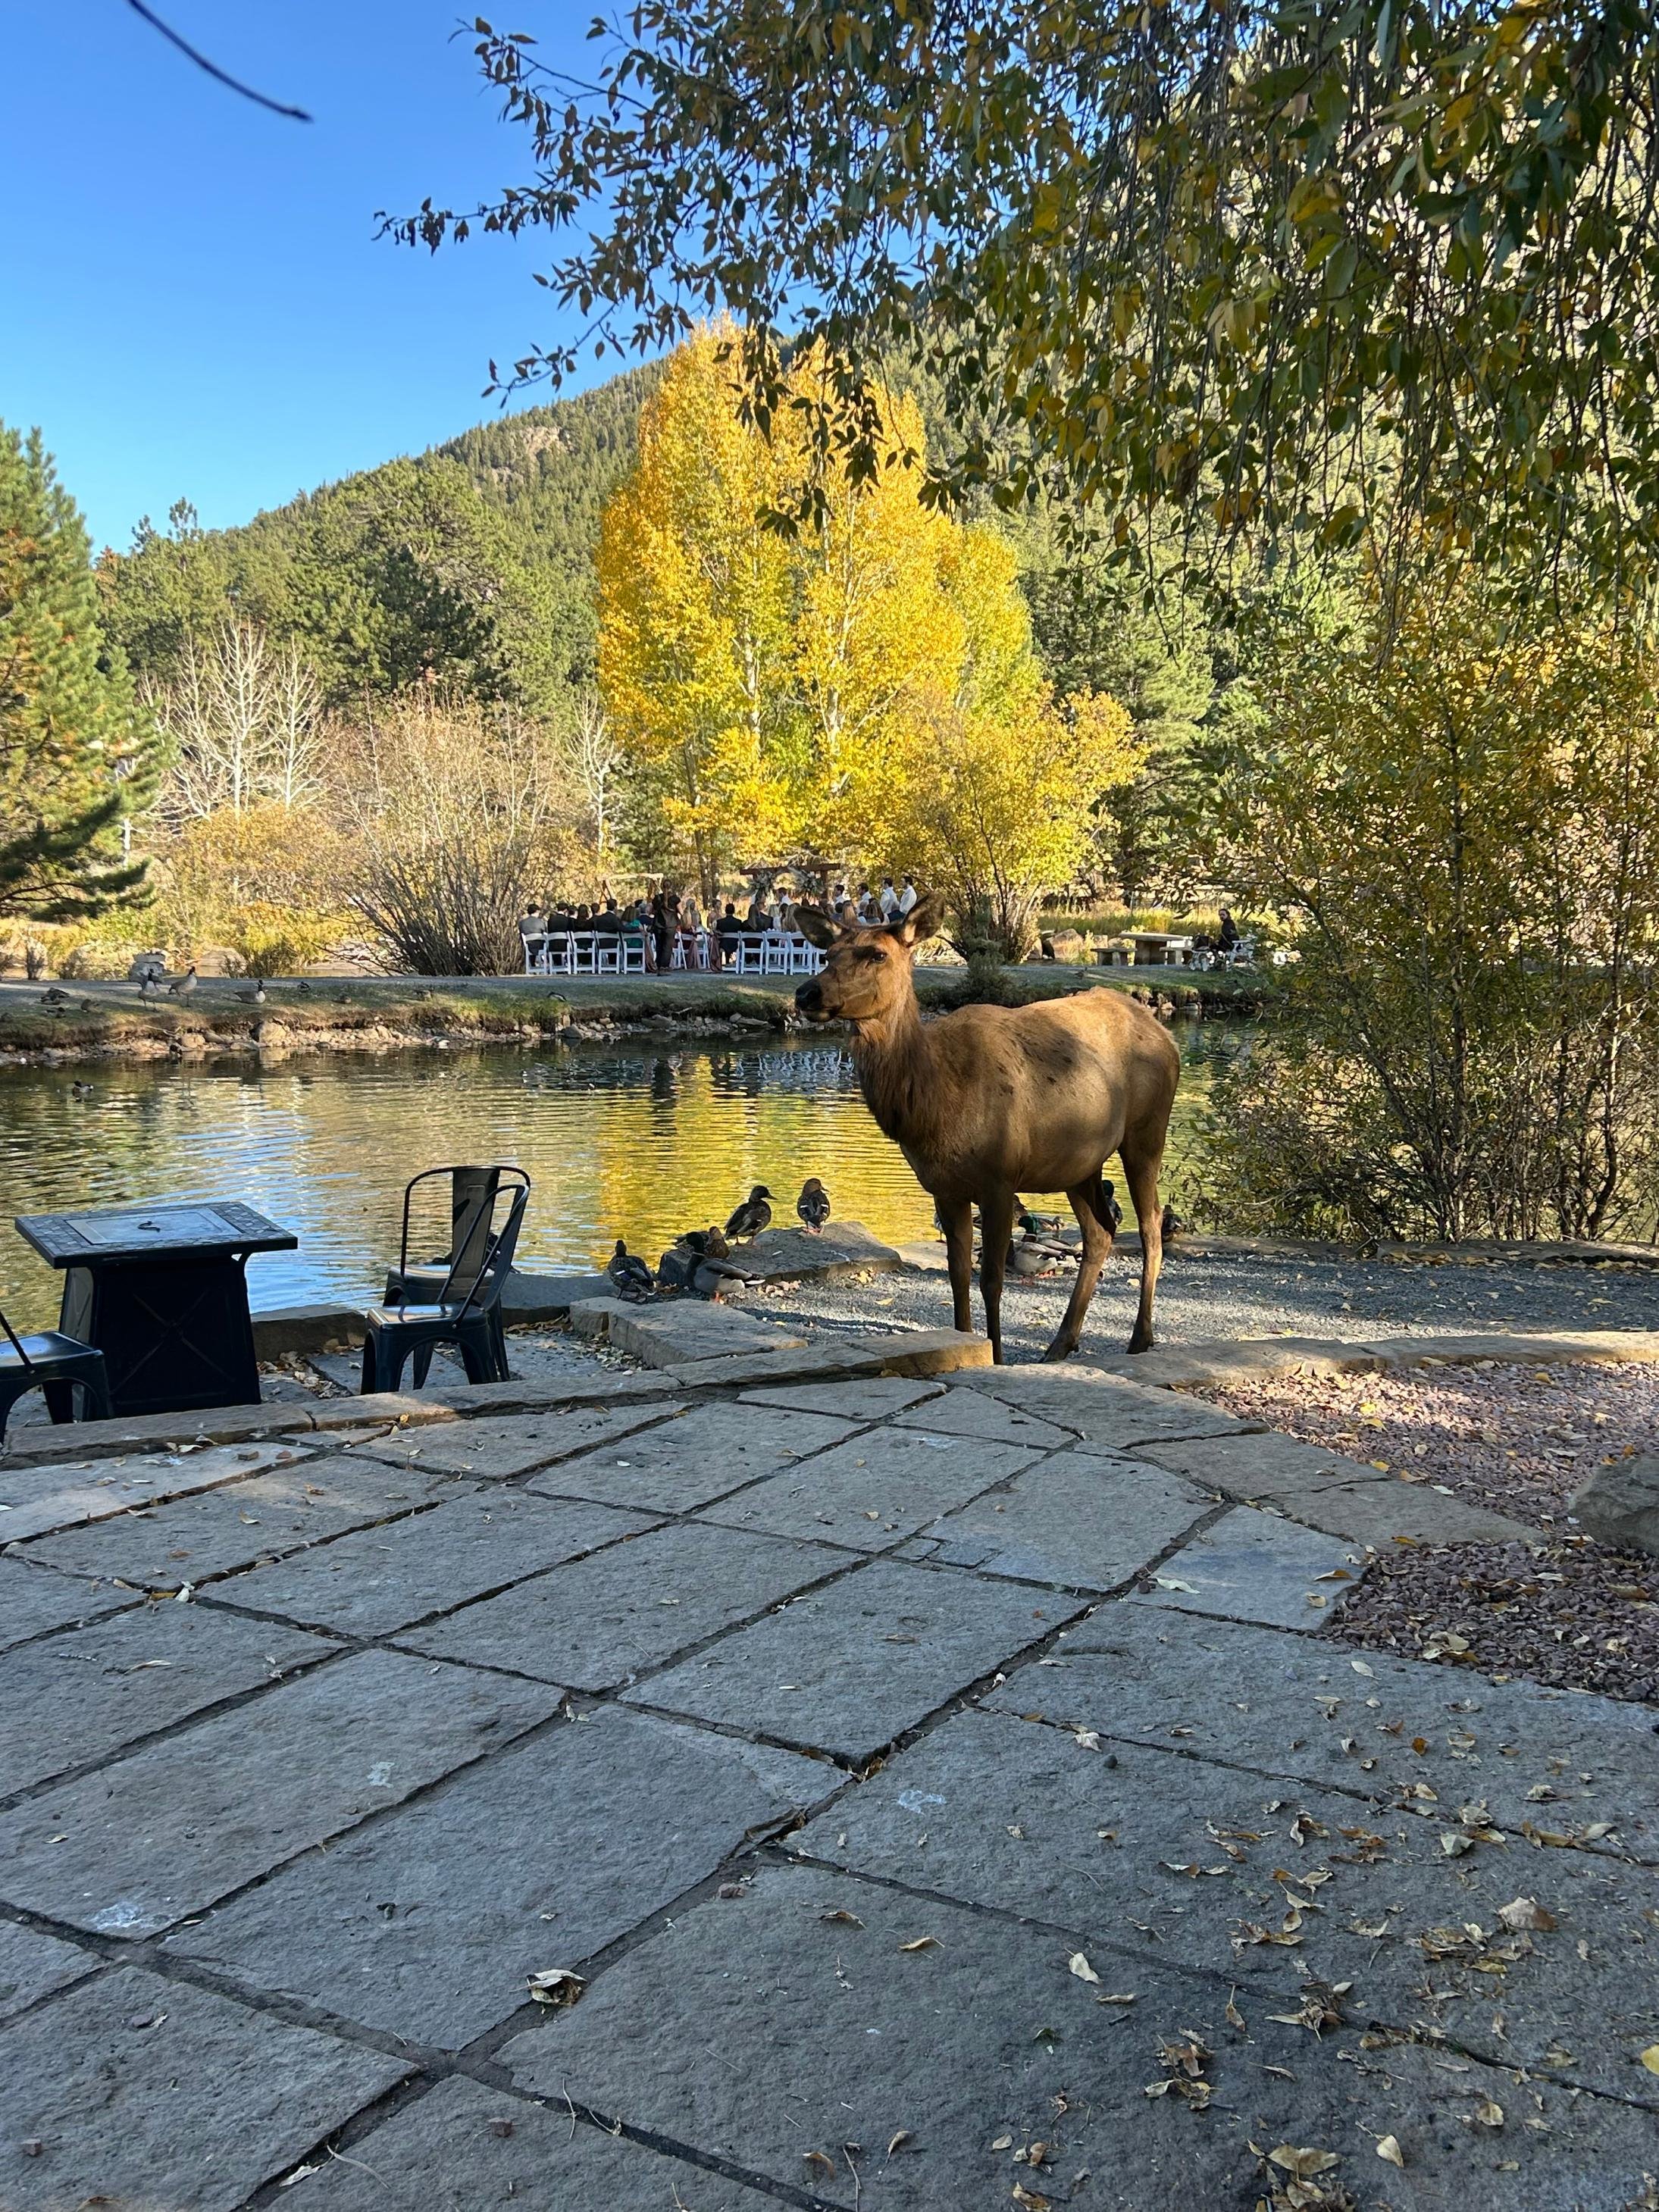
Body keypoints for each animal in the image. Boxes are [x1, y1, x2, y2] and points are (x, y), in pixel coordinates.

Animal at [794, 893, 1180, 1363]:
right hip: (1080, 1162)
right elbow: (958, 1274)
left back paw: (1140, 1338)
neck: (934, 1108)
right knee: (1100, 1233)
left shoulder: (1000, 1179)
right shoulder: (944, 1187)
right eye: (828, 954)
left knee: (1150, 1226)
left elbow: (991, 1279)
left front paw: (995, 1354)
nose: (806, 992)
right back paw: (1059, 1345)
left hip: (1146, 1133)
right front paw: (964, 1344)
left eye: (877, 954)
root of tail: (1165, 1034)